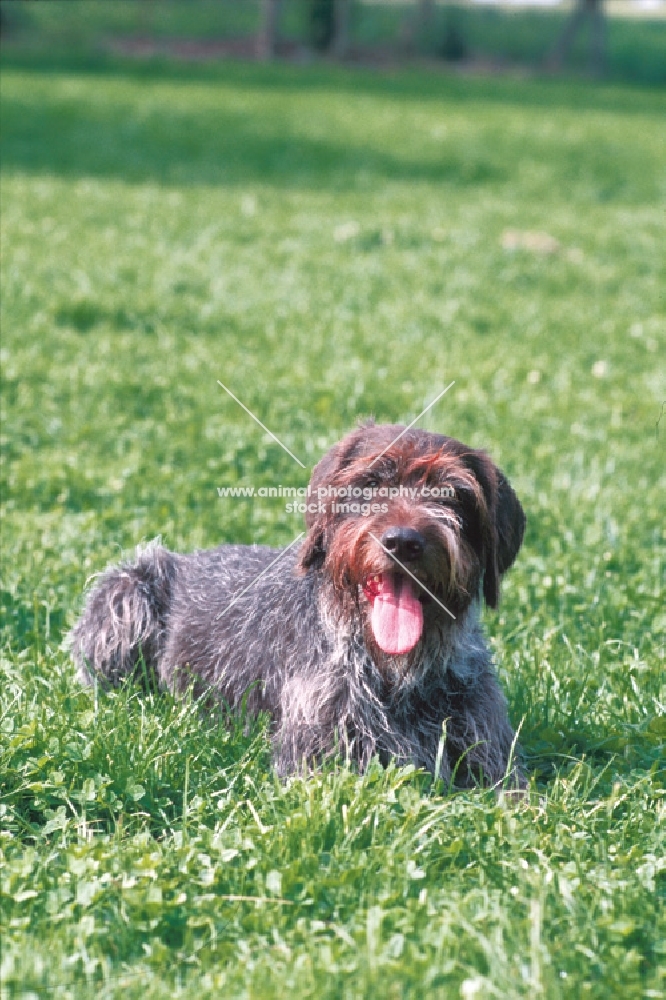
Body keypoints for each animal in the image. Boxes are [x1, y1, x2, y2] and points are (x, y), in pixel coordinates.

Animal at [68, 422, 524, 788]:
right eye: (370, 483)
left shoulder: (493, 758)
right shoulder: (321, 763)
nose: (403, 542)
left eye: (453, 494)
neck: (397, 675)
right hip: (126, 589)